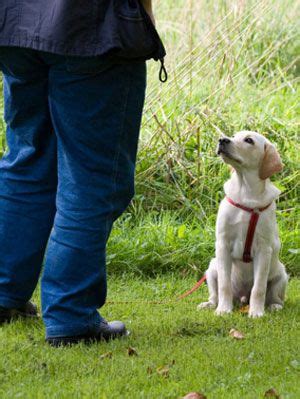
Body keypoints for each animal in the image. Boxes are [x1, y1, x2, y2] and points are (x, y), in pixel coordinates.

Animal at [198, 131, 288, 318]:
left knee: (274, 296)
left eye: (248, 140)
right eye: (233, 136)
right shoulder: (223, 244)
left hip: (282, 275)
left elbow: (259, 288)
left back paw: (273, 306)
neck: (246, 192)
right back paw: (210, 304)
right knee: (215, 294)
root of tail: (242, 297)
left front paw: (256, 312)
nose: (222, 140)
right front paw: (223, 310)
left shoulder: (264, 249)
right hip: (212, 268)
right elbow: (224, 285)